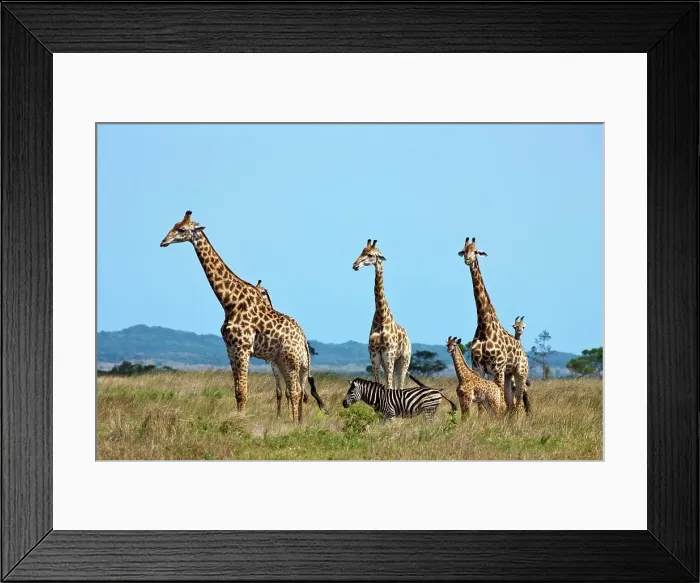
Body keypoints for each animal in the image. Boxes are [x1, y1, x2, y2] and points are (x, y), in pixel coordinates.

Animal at [159, 211, 326, 423]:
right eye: (173, 225)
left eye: (181, 230)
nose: (163, 242)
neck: (229, 302)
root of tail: (304, 340)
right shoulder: (230, 349)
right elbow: (237, 392)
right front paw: (238, 418)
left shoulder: (243, 348)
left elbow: (243, 391)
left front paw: (241, 422)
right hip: (287, 362)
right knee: (296, 391)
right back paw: (297, 422)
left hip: (290, 361)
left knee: (295, 392)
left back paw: (293, 424)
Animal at [352, 239, 412, 390]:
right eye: (362, 252)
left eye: (370, 255)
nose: (355, 265)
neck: (381, 317)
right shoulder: (374, 357)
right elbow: (379, 385)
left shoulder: (389, 355)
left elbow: (389, 386)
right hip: (390, 363)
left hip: (403, 360)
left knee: (400, 386)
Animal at [457, 237, 530, 414]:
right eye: (463, 250)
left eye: (476, 251)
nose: (467, 260)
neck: (484, 326)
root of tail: (524, 353)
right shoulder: (478, 367)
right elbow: (481, 405)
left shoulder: (498, 367)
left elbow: (499, 402)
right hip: (508, 374)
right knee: (511, 404)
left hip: (520, 372)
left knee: (518, 403)